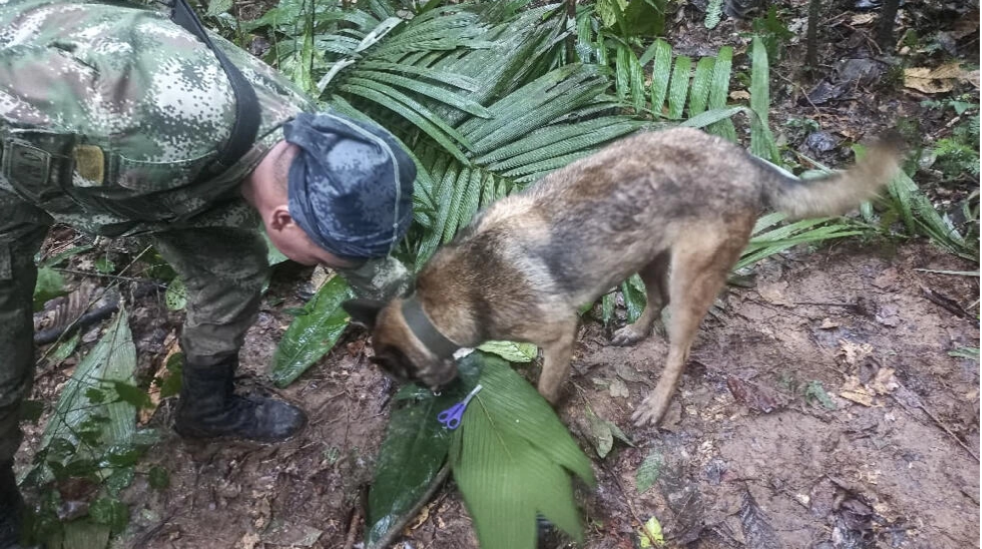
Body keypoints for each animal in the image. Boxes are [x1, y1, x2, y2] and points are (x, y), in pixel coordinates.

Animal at [346, 126, 908, 426]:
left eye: (403, 376)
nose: (436, 401)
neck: (435, 307)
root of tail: (743, 159)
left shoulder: (559, 334)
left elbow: (546, 387)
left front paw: (543, 413)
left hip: (688, 280)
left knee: (679, 349)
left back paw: (656, 403)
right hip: (645, 257)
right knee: (653, 301)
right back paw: (635, 332)